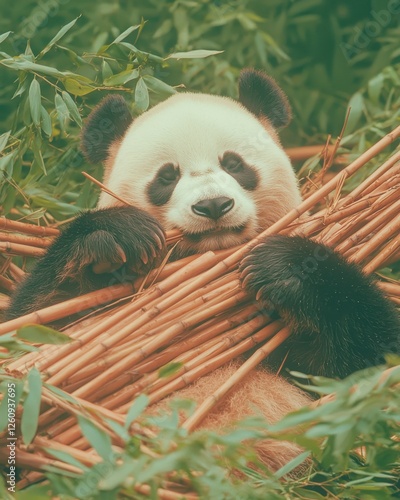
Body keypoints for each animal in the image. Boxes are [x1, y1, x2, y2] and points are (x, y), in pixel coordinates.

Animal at [7, 69, 400, 472]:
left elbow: (368, 363)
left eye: (234, 164)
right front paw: (113, 238)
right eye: (167, 177)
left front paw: (285, 269)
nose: (213, 205)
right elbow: (33, 337)